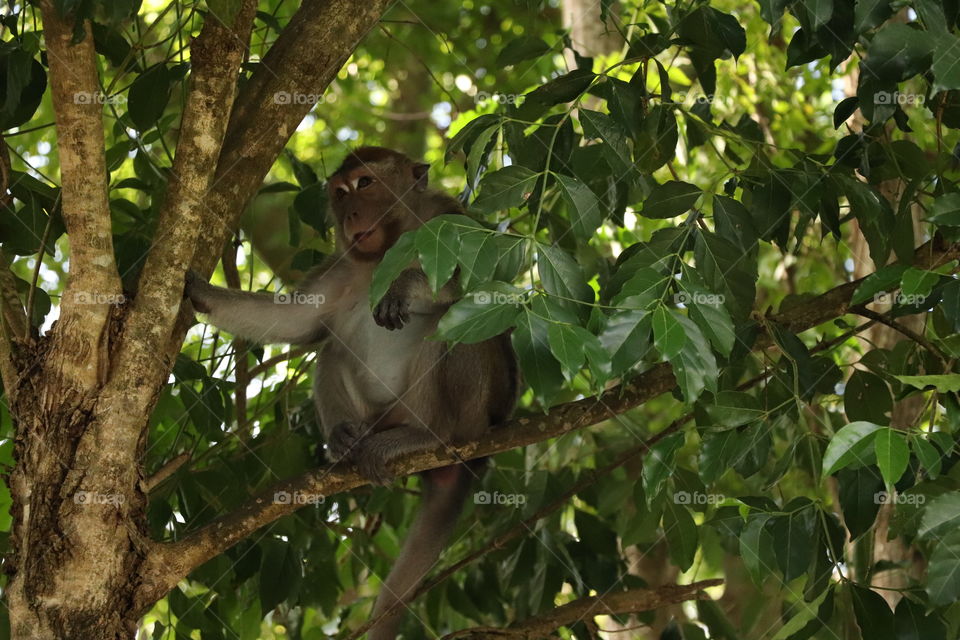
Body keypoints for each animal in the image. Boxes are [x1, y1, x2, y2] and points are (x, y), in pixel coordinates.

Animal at [184, 147, 518, 639]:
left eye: (365, 184)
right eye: (340, 193)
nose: (350, 215)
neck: (383, 252)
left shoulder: (453, 220)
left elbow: (484, 288)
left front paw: (406, 285)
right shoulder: (341, 267)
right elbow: (298, 323)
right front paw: (200, 292)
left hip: (474, 409)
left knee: (452, 321)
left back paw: (432, 436)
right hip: (380, 414)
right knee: (332, 351)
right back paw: (344, 439)